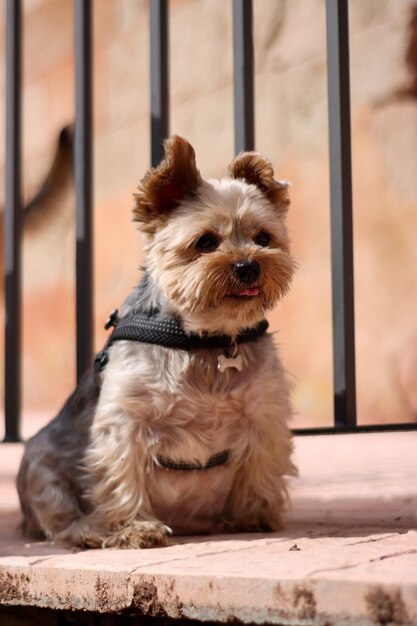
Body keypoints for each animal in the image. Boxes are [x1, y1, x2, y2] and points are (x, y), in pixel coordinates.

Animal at [17, 135, 296, 544]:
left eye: (263, 237)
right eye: (205, 242)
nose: (248, 265)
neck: (205, 338)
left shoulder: (265, 413)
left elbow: (262, 465)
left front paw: (254, 514)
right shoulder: (125, 421)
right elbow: (122, 474)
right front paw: (135, 528)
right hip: (40, 463)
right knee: (58, 518)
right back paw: (88, 530)